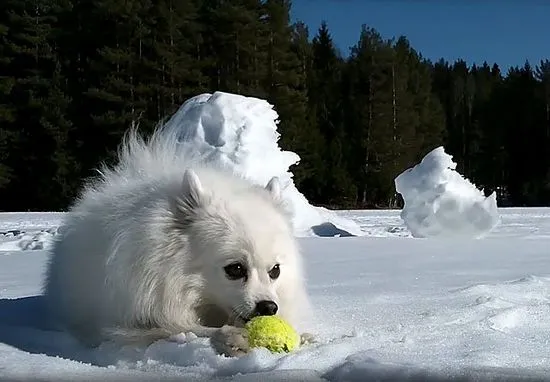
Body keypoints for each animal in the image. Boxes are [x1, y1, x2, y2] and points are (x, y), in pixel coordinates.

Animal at [42, 125, 312, 358]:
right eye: (235, 269)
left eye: (275, 271)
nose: (269, 308)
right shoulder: (135, 318)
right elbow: (181, 329)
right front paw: (231, 338)